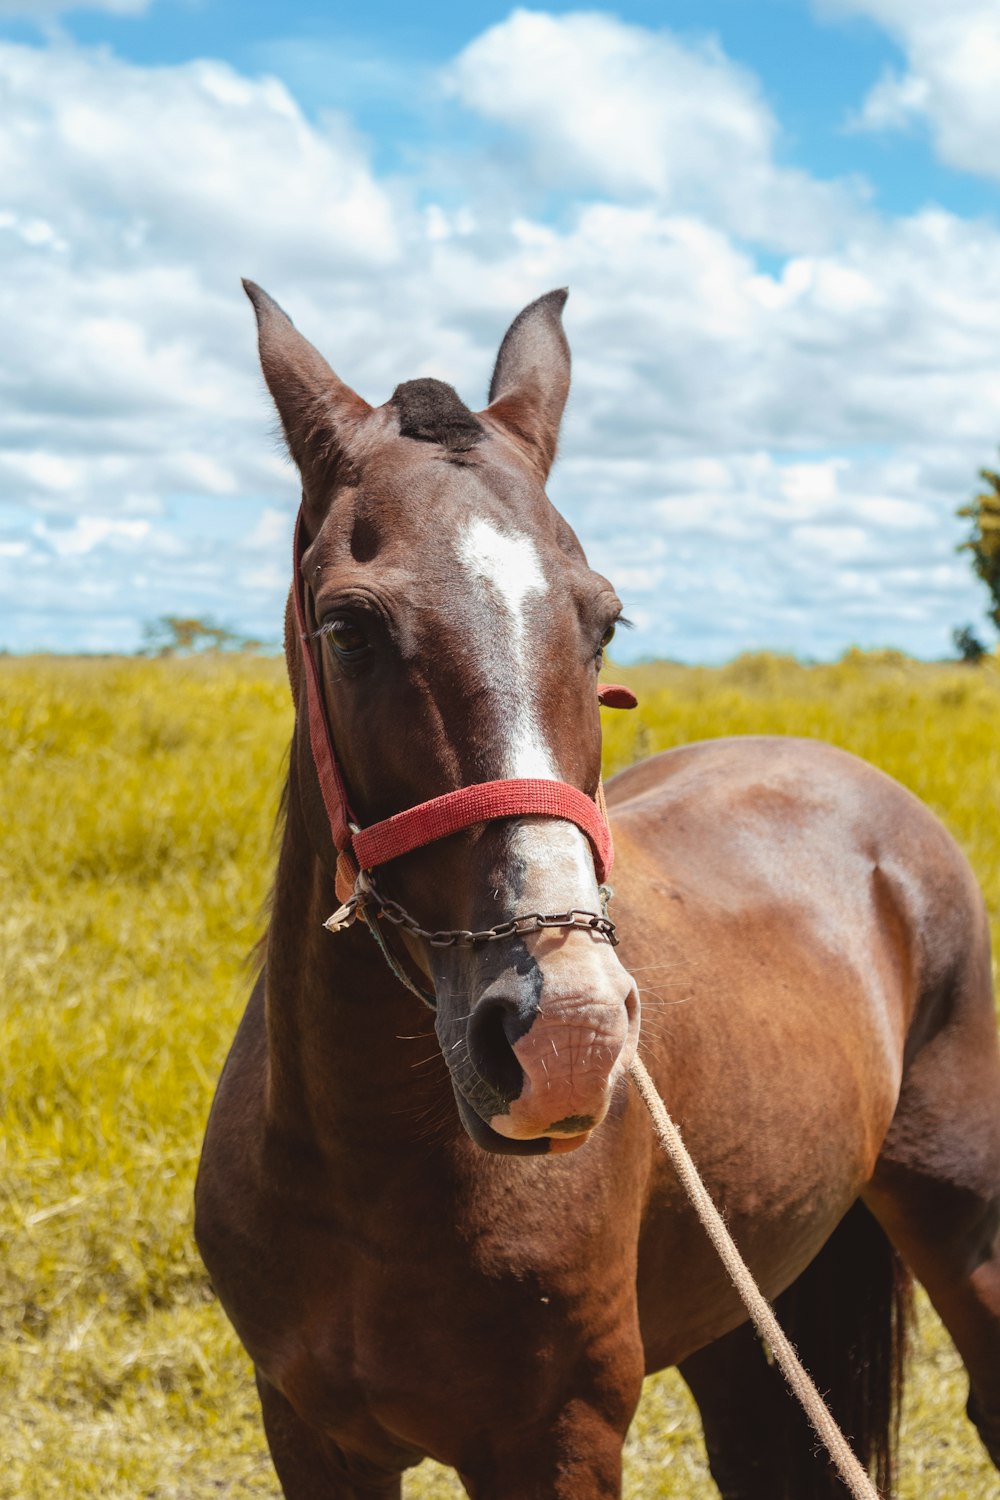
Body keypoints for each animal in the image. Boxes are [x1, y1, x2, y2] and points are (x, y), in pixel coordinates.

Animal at [194, 286, 1000, 1494]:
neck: (365, 1166)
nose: (565, 1034)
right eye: (347, 628)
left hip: (962, 1224)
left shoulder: (558, 1440)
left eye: (604, 622)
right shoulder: (306, 1432)